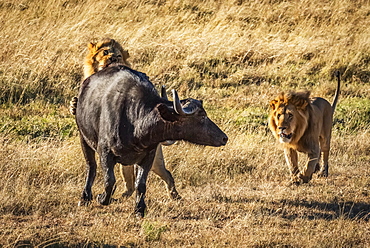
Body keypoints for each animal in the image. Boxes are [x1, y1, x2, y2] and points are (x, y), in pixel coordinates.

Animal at [76, 64, 228, 217]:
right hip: (84, 139)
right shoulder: (105, 153)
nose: (224, 138)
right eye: (202, 116)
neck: (134, 121)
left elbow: (140, 184)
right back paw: (85, 196)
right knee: (91, 166)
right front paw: (101, 198)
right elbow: (109, 181)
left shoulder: (148, 155)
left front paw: (139, 209)